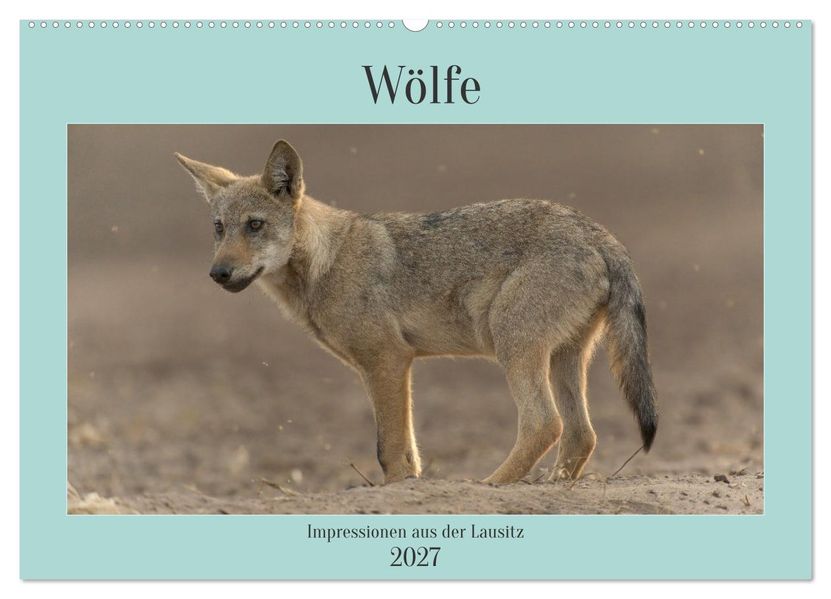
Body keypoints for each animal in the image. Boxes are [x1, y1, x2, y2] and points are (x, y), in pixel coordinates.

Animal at [175, 140, 658, 484]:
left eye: (254, 225)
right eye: (219, 229)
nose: (218, 273)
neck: (327, 261)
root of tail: (600, 233)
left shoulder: (388, 360)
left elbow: (388, 449)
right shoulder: (388, 366)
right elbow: (407, 452)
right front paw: (411, 487)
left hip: (514, 345)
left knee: (545, 424)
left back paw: (488, 486)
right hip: (564, 358)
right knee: (581, 435)